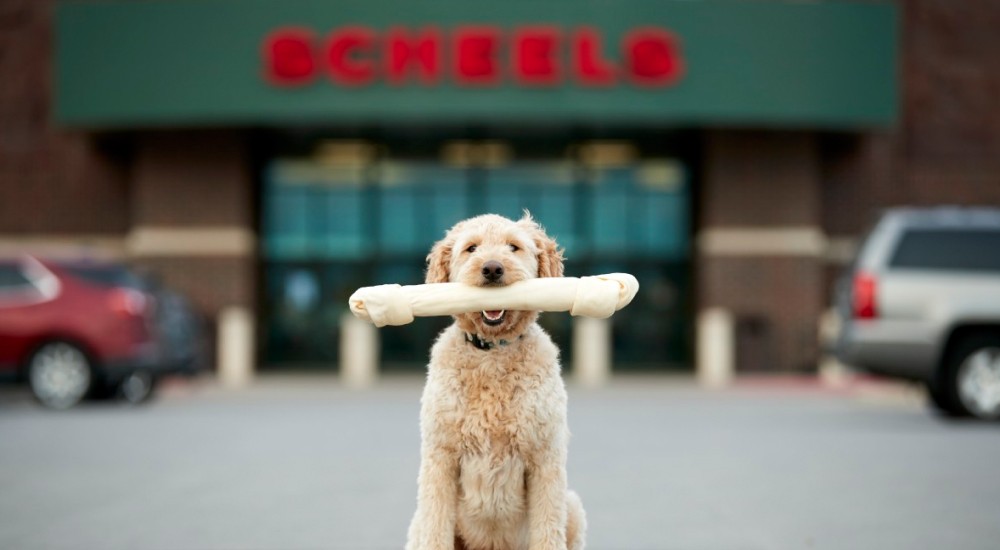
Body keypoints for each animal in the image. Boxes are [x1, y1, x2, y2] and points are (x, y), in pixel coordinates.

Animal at [404, 212, 584, 550]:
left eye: (513, 247)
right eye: (471, 248)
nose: (491, 268)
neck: (492, 352)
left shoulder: (545, 459)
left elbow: (547, 529)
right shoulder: (440, 458)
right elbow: (436, 528)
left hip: (574, 507)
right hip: (417, 521)